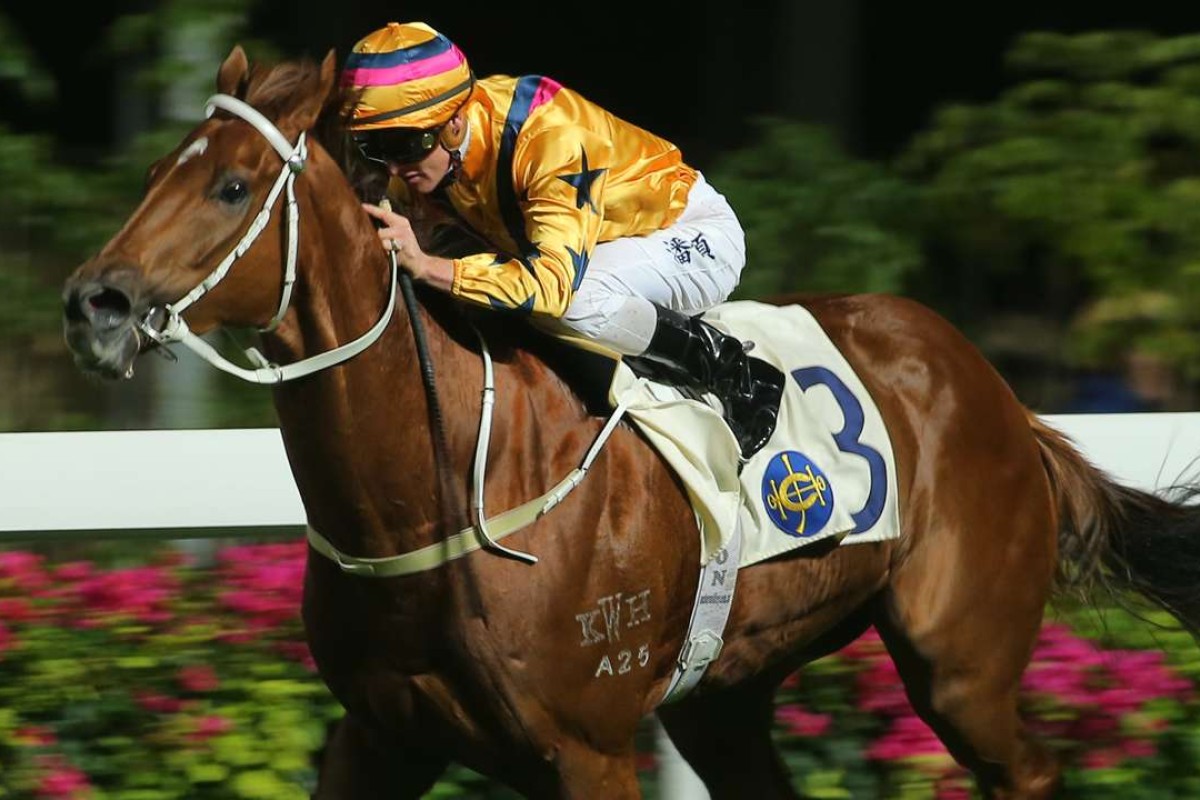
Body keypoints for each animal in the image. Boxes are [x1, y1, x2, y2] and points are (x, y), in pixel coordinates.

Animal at [58, 47, 1200, 796]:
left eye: (231, 185)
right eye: (155, 174)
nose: (93, 303)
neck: (436, 488)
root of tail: (999, 394)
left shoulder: (588, 746)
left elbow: (560, 276)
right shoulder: (381, 735)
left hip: (959, 659)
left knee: (1028, 766)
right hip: (723, 691)